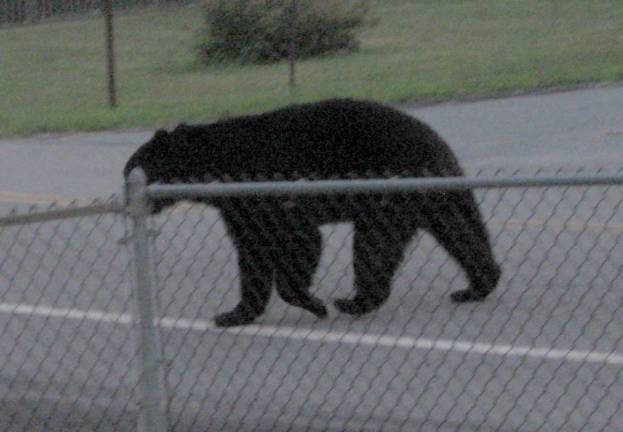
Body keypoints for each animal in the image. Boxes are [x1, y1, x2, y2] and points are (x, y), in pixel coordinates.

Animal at [125, 98, 502, 328]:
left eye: (130, 173)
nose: (127, 202)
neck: (215, 163)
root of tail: (438, 144)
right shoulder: (238, 206)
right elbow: (253, 252)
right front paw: (234, 314)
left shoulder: (267, 189)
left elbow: (300, 237)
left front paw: (313, 302)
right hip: (431, 197)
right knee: (459, 232)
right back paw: (477, 285)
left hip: (389, 190)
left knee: (375, 245)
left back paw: (353, 301)